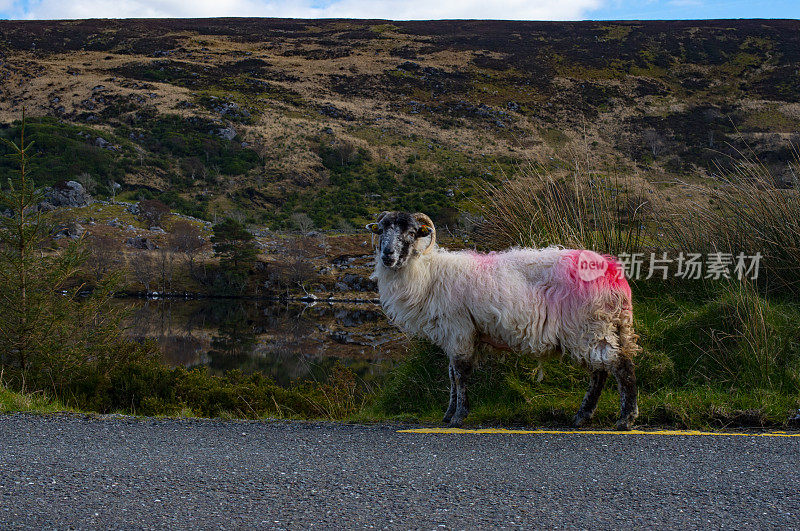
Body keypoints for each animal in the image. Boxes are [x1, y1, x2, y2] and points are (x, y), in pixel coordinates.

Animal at [366, 210, 640, 430]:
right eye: (381, 230)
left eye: (412, 232)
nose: (387, 255)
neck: (428, 274)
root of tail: (614, 274)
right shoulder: (454, 334)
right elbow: (451, 374)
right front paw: (447, 414)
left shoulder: (459, 329)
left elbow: (460, 375)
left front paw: (458, 417)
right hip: (599, 326)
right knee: (600, 371)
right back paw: (583, 416)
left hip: (590, 325)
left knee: (620, 366)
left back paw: (625, 419)